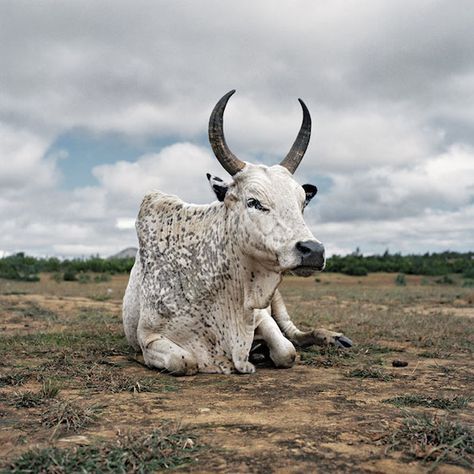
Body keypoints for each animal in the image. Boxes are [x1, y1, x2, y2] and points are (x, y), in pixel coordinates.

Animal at [122, 90, 352, 376]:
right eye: (254, 202)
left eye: (302, 203)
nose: (314, 251)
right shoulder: (148, 336)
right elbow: (184, 361)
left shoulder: (259, 314)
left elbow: (286, 351)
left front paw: (262, 350)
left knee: (295, 334)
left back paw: (334, 337)